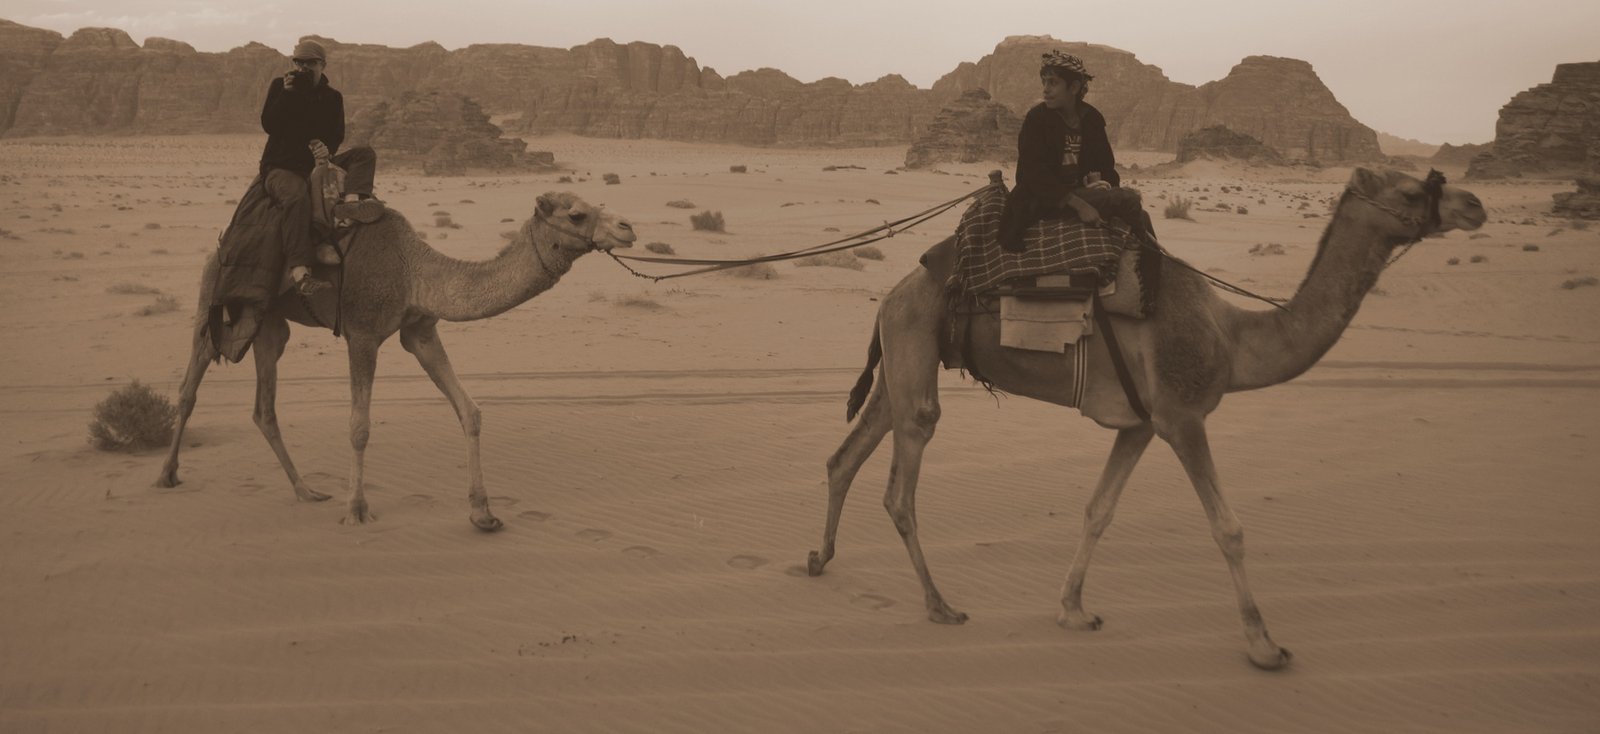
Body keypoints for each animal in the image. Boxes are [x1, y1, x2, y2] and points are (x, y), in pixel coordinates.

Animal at [156, 192, 636, 530]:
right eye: (576, 214)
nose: (628, 227)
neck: (414, 272)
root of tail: (218, 247)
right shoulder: (363, 334)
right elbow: (359, 427)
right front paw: (356, 509)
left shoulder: (419, 330)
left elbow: (470, 411)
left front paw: (483, 512)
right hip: (213, 303)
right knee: (190, 387)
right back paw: (166, 475)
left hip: (270, 324)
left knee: (264, 408)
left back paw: (306, 490)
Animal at [812, 169, 1484, 668]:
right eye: (1410, 191)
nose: (1474, 204)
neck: (1235, 339)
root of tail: (895, 289)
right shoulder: (1182, 416)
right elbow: (1229, 529)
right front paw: (1264, 645)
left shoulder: (1139, 423)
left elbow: (1099, 510)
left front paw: (1073, 610)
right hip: (914, 349)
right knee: (902, 484)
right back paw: (940, 605)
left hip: (903, 356)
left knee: (848, 452)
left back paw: (820, 558)